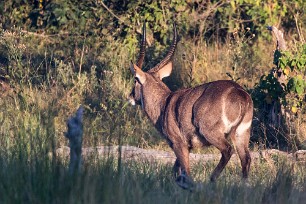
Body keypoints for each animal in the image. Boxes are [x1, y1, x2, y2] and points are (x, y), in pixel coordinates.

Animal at [128, 22, 252, 190]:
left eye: (135, 79)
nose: (130, 96)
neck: (164, 104)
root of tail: (240, 93)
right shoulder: (188, 147)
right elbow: (177, 172)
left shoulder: (178, 144)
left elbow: (185, 173)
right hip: (241, 134)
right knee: (246, 159)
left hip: (212, 132)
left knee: (228, 150)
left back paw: (212, 179)